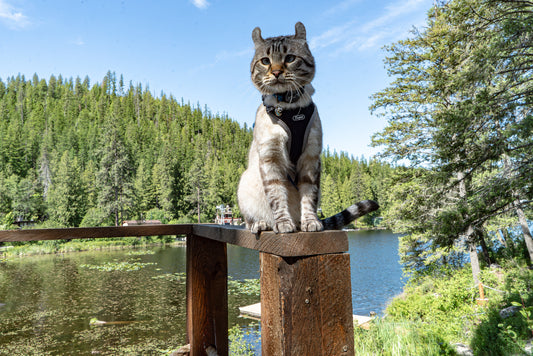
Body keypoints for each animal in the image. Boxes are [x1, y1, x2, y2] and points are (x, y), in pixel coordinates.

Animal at [237, 22, 378, 234]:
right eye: (265, 61)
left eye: (289, 58)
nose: (276, 72)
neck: (289, 107)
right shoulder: (271, 157)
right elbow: (276, 196)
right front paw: (283, 223)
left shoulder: (310, 157)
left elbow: (309, 197)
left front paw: (310, 222)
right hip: (245, 183)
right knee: (250, 220)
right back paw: (262, 224)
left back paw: (298, 223)